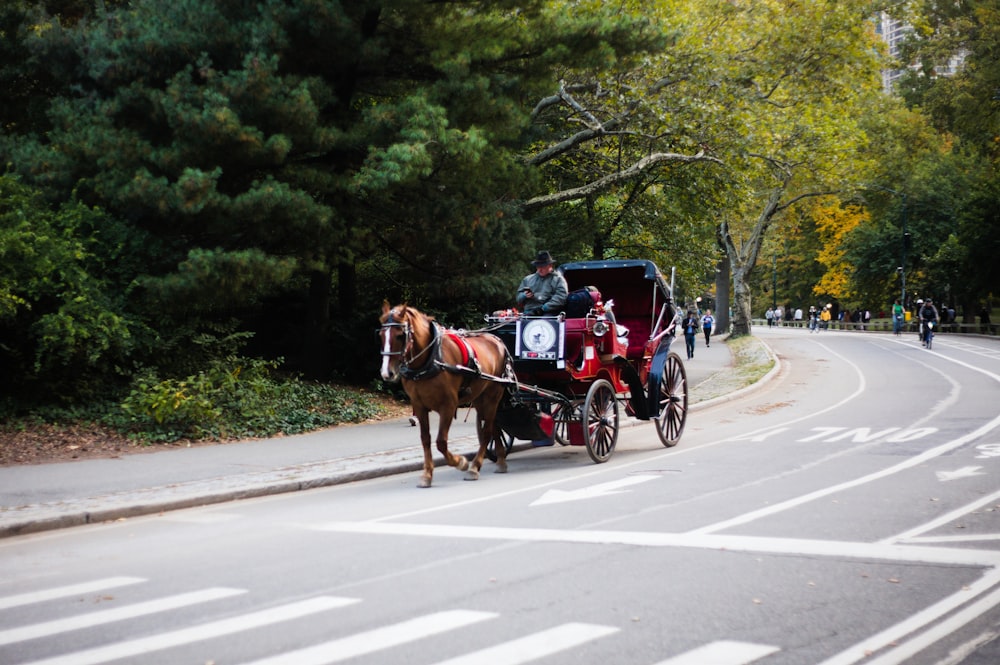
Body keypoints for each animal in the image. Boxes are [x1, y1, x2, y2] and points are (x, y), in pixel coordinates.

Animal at [376, 302, 512, 488]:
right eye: (381, 335)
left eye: (400, 335)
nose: (386, 373)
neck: (430, 359)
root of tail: (496, 340)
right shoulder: (419, 405)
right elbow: (425, 439)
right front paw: (427, 474)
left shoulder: (448, 405)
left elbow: (441, 442)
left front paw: (460, 462)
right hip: (480, 398)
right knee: (494, 427)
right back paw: (501, 460)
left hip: (493, 394)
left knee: (487, 431)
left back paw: (474, 467)